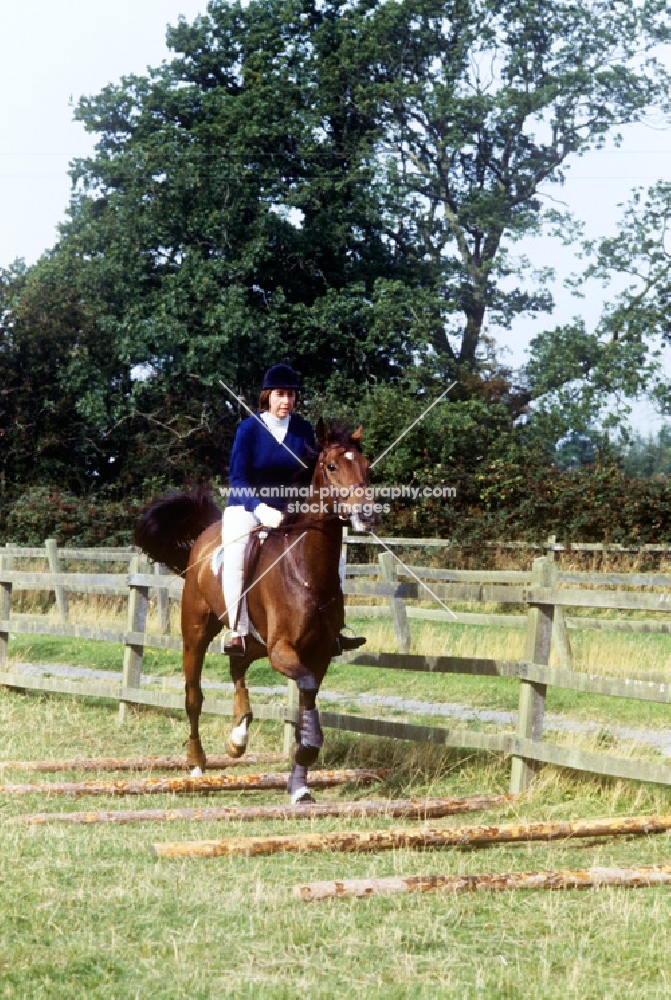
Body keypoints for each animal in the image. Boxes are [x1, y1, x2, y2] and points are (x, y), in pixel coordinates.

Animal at [133, 420, 376, 804]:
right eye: (332, 466)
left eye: (367, 466)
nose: (367, 515)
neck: (305, 568)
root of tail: (204, 536)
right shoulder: (282, 650)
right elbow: (306, 691)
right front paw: (308, 750)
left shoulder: (319, 654)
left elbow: (307, 697)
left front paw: (299, 784)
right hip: (196, 634)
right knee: (194, 696)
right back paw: (197, 761)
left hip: (253, 641)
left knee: (237, 666)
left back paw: (238, 736)